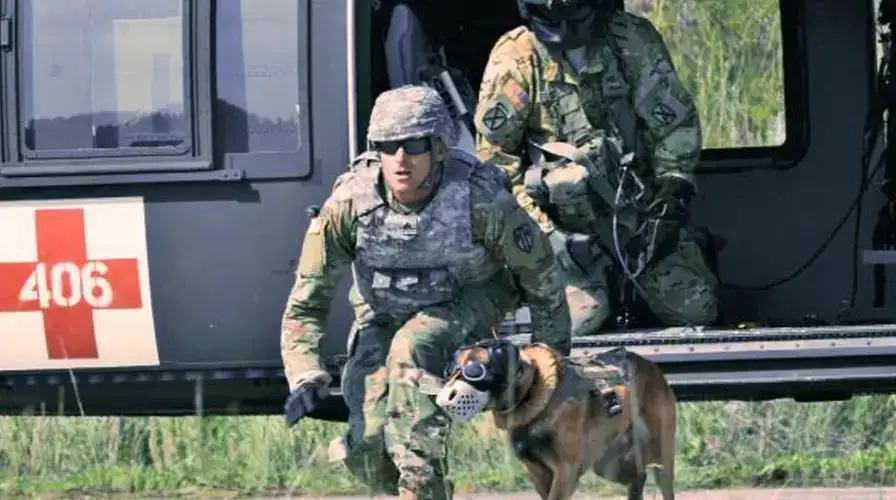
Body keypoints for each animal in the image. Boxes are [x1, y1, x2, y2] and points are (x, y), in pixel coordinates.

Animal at [436, 338, 680, 498]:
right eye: (451, 372)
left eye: (475, 372)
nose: (443, 400)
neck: (532, 389)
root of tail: (650, 365)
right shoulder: (537, 473)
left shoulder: (565, 470)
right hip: (607, 465)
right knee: (638, 479)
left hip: (661, 458)